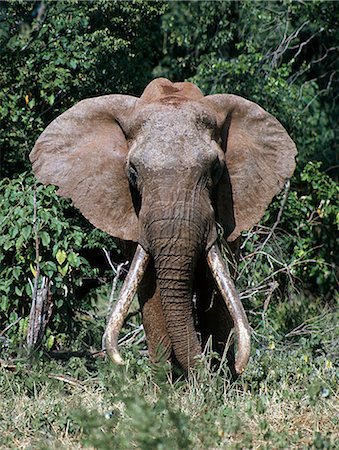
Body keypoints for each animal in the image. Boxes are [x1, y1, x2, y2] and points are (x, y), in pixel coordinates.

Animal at [29, 77, 298, 376]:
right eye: (132, 172)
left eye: (216, 169)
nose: (121, 361)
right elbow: (151, 286)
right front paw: (167, 384)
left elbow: (216, 289)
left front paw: (221, 379)